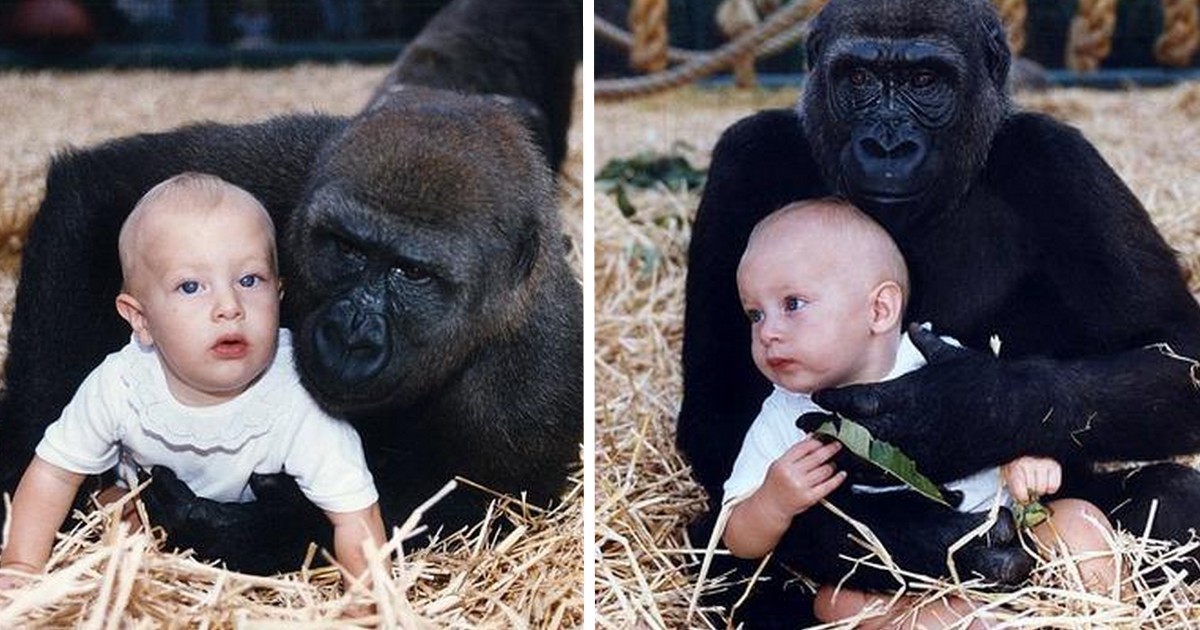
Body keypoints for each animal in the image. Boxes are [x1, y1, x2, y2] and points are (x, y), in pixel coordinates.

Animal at [0, 0, 580, 571]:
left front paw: (249, 529)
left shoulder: (528, 402)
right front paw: (32, 472)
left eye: (412, 273)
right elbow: (99, 195)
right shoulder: (295, 169)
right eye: (346, 248)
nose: (350, 335)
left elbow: (476, 507)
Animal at [686, 0, 1200, 619]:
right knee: (718, 545)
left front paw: (958, 412)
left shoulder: (1059, 159)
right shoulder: (745, 156)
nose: (887, 147)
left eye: (925, 81)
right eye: (858, 78)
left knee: (1174, 496)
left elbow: (1173, 352)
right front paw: (923, 540)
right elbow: (717, 411)